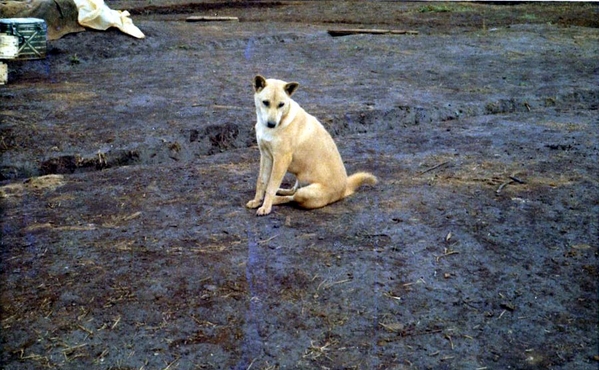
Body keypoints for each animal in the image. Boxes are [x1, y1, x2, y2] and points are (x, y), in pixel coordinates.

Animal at [246, 76, 378, 214]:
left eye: (281, 104)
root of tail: (344, 188)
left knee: (292, 198)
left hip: (305, 193)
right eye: (265, 102)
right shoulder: (265, 156)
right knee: (293, 190)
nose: (271, 124)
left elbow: (271, 186)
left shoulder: (281, 159)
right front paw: (257, 201)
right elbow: (261, 181)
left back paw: (276, 199)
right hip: (299, 180)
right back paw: (281, 191)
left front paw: (266, 206)